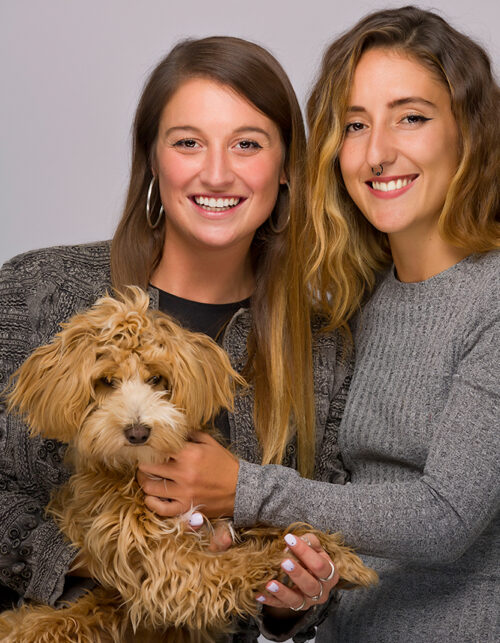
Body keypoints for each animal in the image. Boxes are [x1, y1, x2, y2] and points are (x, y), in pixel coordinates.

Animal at [0, 287, 377, 642]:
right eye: (106, 381)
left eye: (156, 379)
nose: (137, 431)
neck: (141, 468)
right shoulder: (172, 571)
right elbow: (244, 563)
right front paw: (302, 556)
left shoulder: (221, 517)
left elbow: (269, 525)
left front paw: (336, 558)